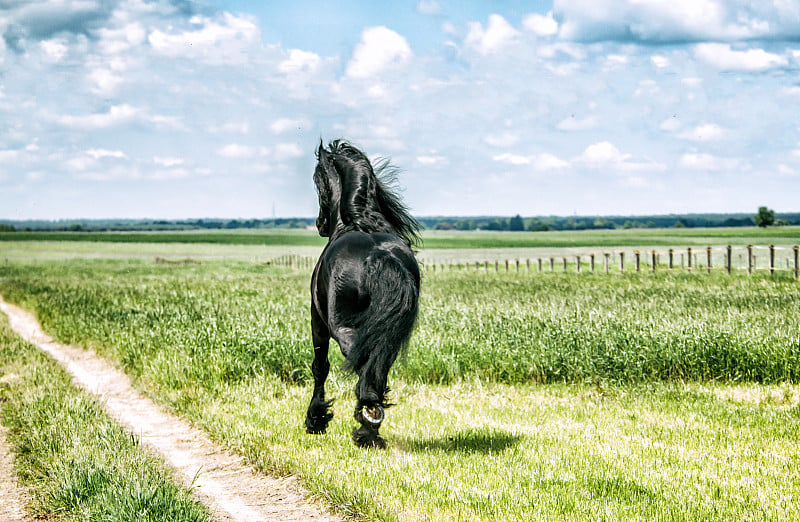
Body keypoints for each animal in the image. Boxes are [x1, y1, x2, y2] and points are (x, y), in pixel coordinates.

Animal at [304, 139, 422, 446]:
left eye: (317, 180)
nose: (319, 224)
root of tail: (380, 256)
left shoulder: (317, 320)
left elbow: (320, 366)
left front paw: (316, 419)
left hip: (343, 327)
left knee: (364, 367)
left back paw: (366, 423)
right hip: (388, 332)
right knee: (377, 368)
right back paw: (371, 425)